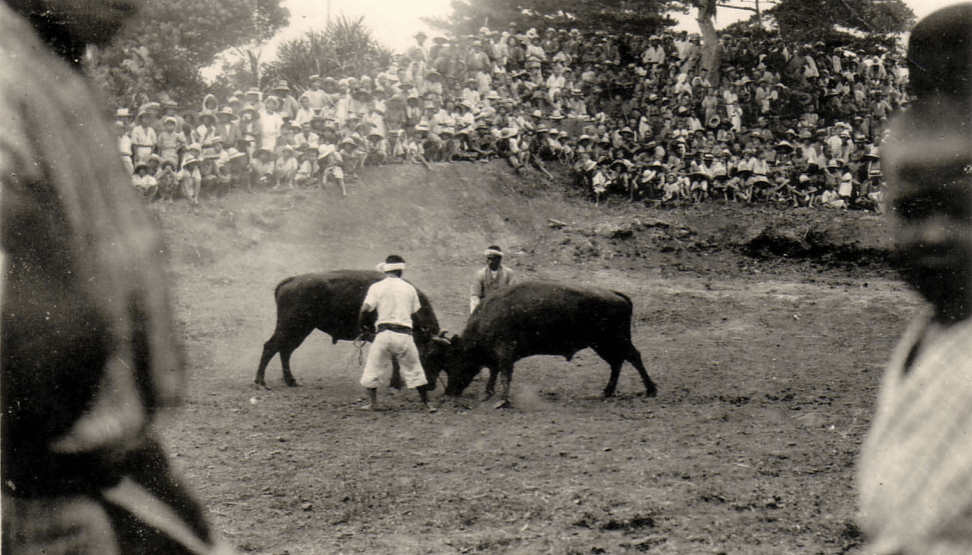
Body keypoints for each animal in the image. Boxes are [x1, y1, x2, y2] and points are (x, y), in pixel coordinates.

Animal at [254, 270, 442, 388]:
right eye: (427, 355)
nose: (430, 385)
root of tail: (291, 281)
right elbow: (395, 359)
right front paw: (397, 383)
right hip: (292, 327)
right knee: (271, 347)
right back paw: (261, 382)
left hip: (300, 331)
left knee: (285, 351)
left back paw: (291, 381)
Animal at [428, 281, 657, 407]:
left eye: (454, 360)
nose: (449, 392)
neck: (488, 317)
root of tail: (616, 294)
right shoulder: (498, 357)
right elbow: (495, 373)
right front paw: (488, 394)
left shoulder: (505, 354)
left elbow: (504, 375)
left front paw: (502, 401)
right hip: (601, 344)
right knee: (617, 363)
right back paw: (607, 392)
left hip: (615, 340)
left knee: (633, 357)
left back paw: (651, 390)